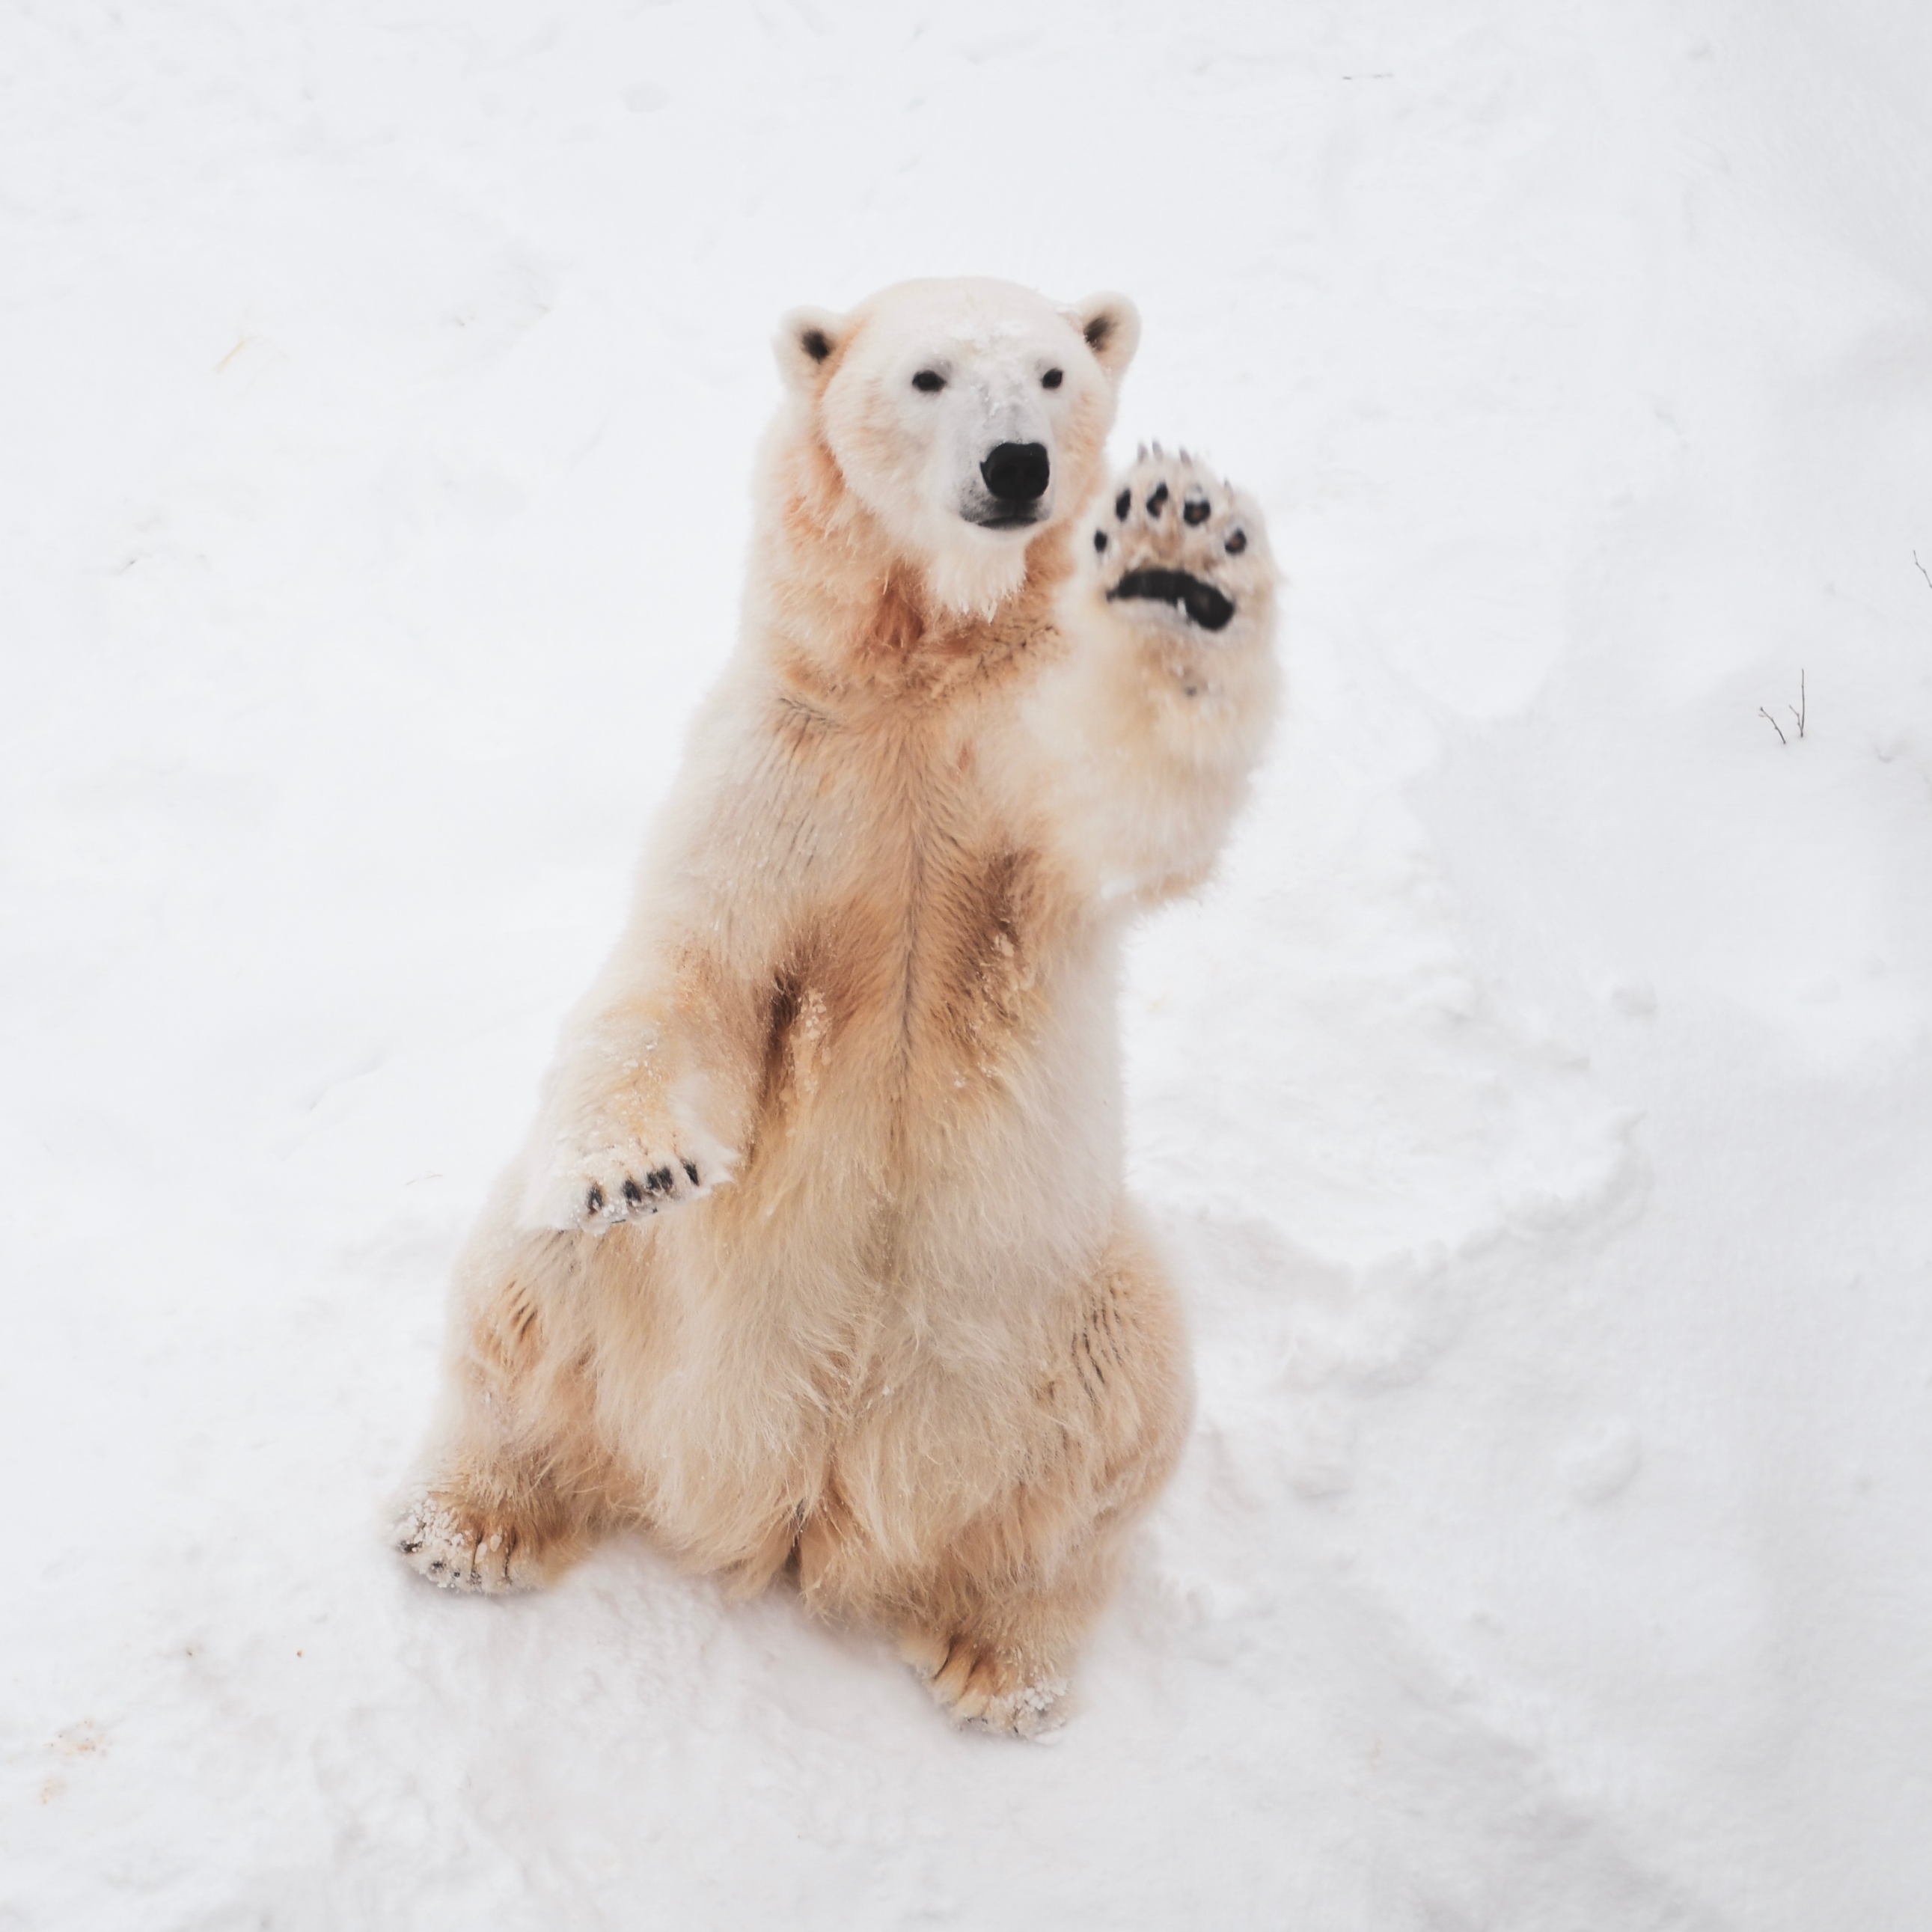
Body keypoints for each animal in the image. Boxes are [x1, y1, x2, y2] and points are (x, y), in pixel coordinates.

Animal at [394, 276, 1279, 1735]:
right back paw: (466, 1521)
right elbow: (687, 970)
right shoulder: (788, 762)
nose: (1016, 465)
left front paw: (1177, 566)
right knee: (528, 1286)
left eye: (1053, 374)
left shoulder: (1012, 785)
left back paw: (1001, 1659)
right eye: (926, 376)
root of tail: (810, 1505)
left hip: (1064, 1306)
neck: (921, 673)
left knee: (1110, 1441)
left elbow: (1129, 801)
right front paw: (636, 1166)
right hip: (649, 1315)